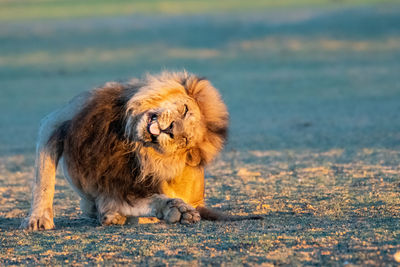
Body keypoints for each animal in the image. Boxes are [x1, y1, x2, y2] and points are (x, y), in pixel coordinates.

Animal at [21, 71, 260, 232]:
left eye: (184, 141)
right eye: (184, 110)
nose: (170, 129)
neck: (126, 136)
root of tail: (199, 201)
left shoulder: (122, 185)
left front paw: (176, 210)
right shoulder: (57, 122)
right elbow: (43, 180)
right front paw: (38, 219)